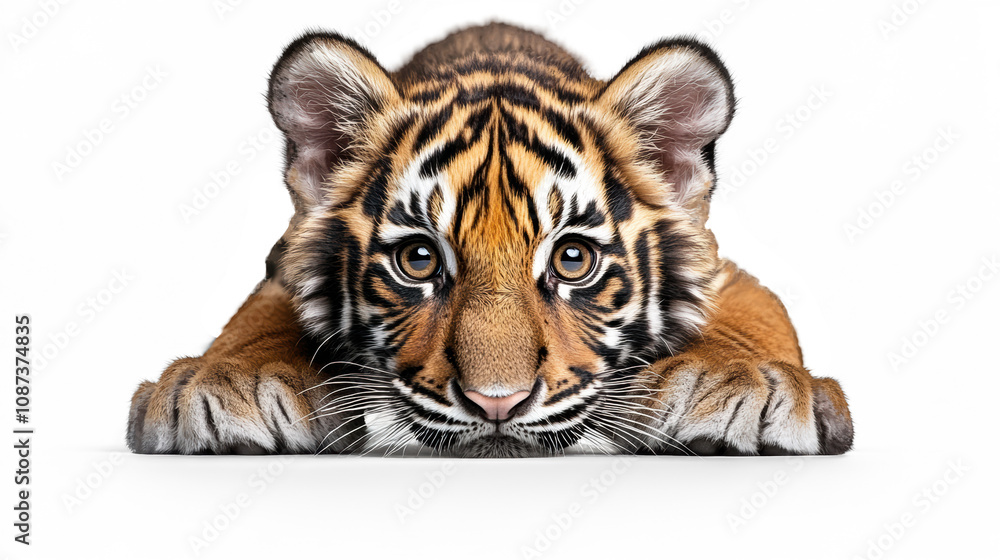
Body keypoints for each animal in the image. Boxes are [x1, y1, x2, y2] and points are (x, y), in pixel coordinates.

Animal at [126, 23, 853, 458]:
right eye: (418, 259)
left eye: (573, 259)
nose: (495, 402)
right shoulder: (285, 260)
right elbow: (258, 314)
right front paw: (229, 384)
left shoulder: (723, 269)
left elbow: (753, 315)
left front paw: (738, 386)